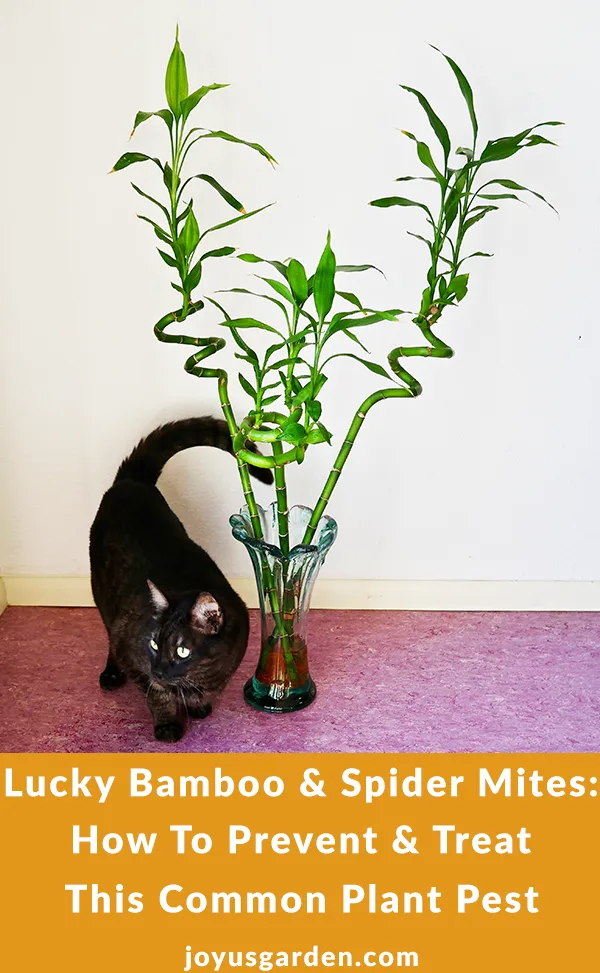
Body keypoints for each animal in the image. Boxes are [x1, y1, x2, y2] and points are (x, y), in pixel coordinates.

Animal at [89, 414, 272, 740]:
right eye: (153, 644)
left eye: (182, 650)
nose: (159, 670)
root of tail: (132, 481)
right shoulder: (131, 647)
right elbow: (157, 694)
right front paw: (168, 722)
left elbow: (211, 688)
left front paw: (198, 705)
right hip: (103, 595)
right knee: (109, 632)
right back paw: (111, 673)